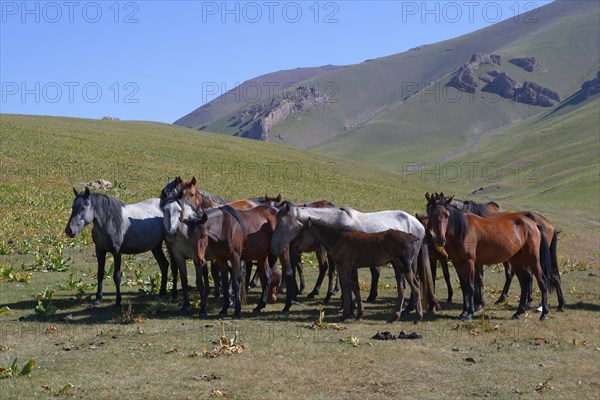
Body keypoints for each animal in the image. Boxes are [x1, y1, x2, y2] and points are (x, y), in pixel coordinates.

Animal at [272, 203, 440, 318]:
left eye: (282, 223)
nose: (274, 248)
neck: (338, 226)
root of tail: (419, 225)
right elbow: (349, 285)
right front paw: (350, 308)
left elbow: (348, 286)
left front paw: (346, 309)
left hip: (410, 261)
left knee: (415, 279)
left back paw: (409, 308)